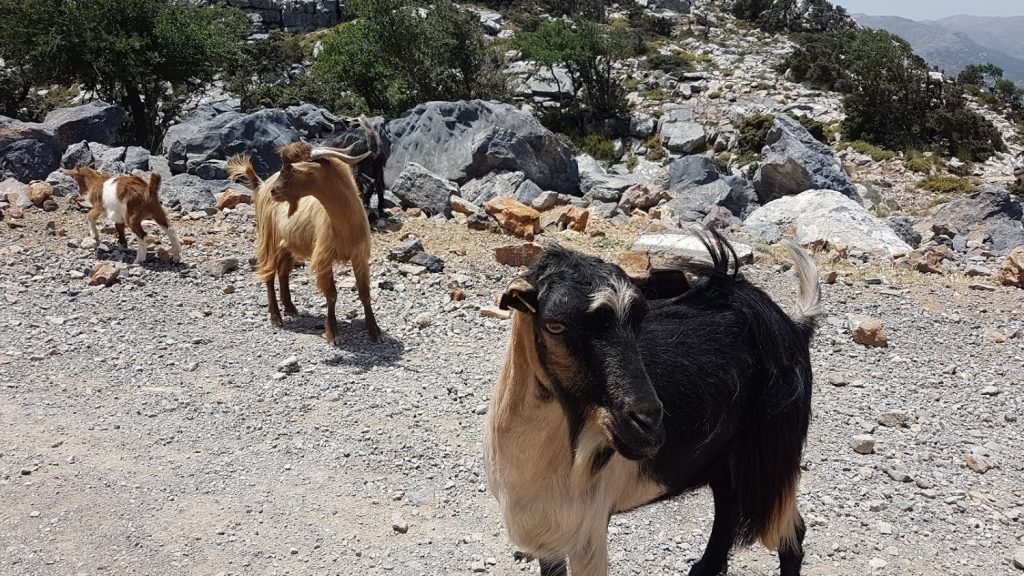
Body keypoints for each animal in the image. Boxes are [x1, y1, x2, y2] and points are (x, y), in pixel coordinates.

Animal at [226, 141, 382, 342]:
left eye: (292, 169)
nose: (275, 191)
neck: (345, 225)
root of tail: (261, 186)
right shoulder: (324, 257)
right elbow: (331, 294)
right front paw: (333, 333)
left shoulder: (360, 256)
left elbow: (364, 293)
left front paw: (374, 331)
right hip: (269, 239)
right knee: (269, 274)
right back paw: (276, 317)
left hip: (288, 245)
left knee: (283, 272)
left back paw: (290, 307)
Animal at [483, 233, 819, 573]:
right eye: (555, 325)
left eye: (639, 320)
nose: (647, 424)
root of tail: (794, 326)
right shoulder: (549, 534)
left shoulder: (587, 534)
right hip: (723, 458)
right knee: (728, 507)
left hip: (772, 462)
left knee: (790, 533)